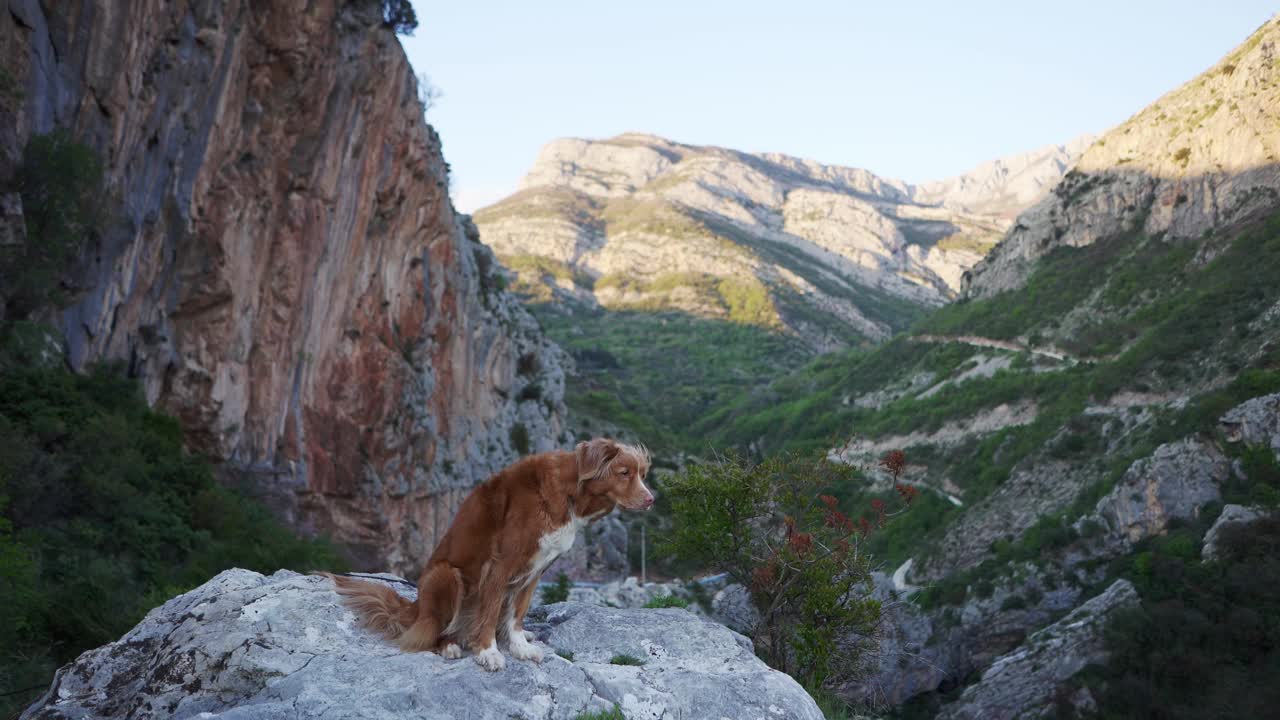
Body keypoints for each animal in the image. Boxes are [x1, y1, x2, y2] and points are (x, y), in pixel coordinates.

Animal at [325, 435, 655, 671]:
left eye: (641, 473)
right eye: (624, 473)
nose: (651, 499)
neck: (572, 494)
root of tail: (415, 607)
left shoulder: (536, 570)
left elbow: (517, 613)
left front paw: (520, 646)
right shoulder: (501, 565)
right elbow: (492, 611)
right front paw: (488, 652)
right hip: (446, 576)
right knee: (431, 631)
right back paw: (450, 645)